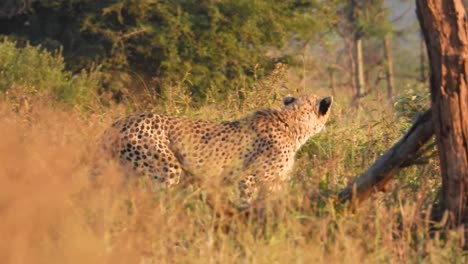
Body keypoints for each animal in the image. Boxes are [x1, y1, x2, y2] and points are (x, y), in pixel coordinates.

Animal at [102, 94, 330, 204]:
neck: (292, 123)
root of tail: (119, 122)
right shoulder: (248, 178)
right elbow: (249, 202)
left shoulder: (276, 182)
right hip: (165, 171)